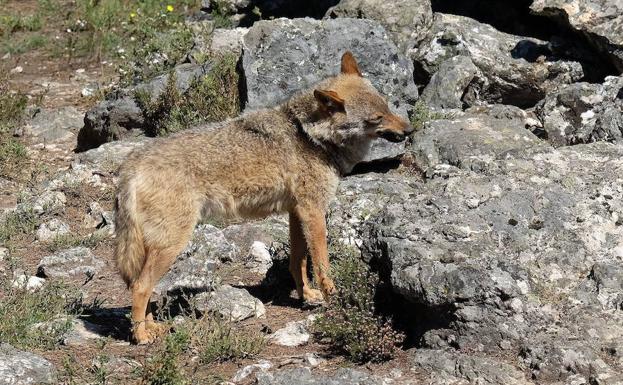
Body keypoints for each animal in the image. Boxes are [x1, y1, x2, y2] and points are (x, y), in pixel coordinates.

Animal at [114, 51, 416, 342]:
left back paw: (151, 327)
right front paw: (333, 296)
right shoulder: (314, 211)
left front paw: (307, 295)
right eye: (376, 118)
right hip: (171, 245)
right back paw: (141, 336)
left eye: (388, 107)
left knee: (141, 286)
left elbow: (298, 262)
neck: (311, 136)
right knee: (140, 287)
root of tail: (131, 164)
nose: (409, 130)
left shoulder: (296, 212)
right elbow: (322, 264)